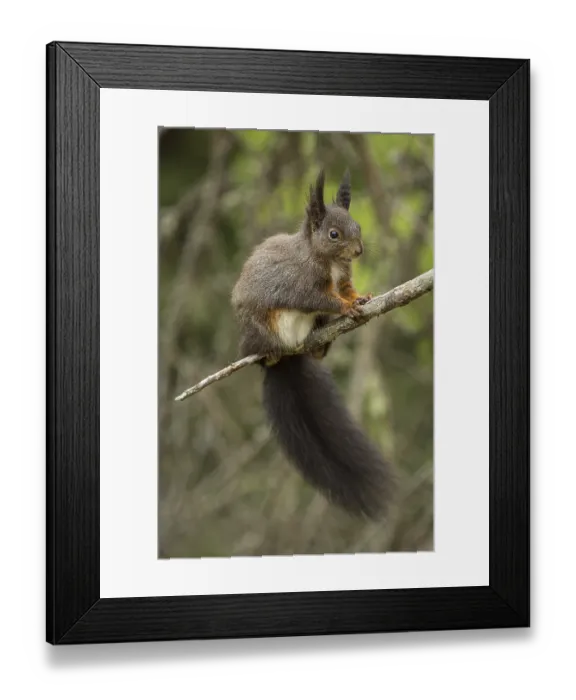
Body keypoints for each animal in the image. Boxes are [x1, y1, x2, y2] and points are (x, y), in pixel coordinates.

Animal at [231, 169, 393, 519]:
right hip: (257, 329)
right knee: (260, 345)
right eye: (334, 234)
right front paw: (345, 307)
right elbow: (320, 299)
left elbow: (345, 289)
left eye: (358, 226)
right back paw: (267, 352)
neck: (327, 260)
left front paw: (360, 298)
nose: (359, 251)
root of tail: (288, 356)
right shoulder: (300, 284)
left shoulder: (343, 277)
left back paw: (319, 346)